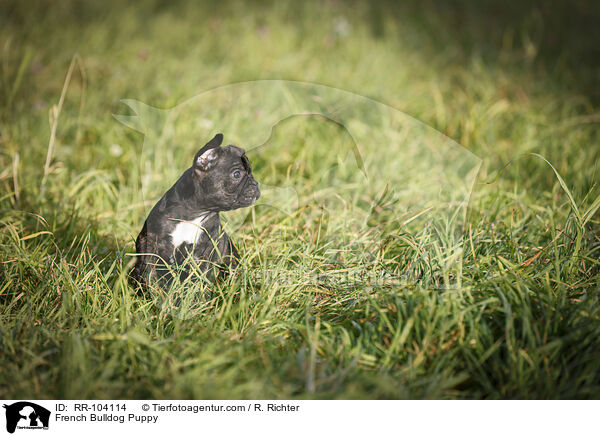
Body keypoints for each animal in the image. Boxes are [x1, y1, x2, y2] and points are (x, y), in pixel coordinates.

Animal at [129, 133, 260, 292]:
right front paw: (147, 291)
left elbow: (200, 277)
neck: (195, 214)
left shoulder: (205, 251)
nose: (255, 184)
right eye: (237, 174)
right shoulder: (150, 242)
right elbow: (148, 272)